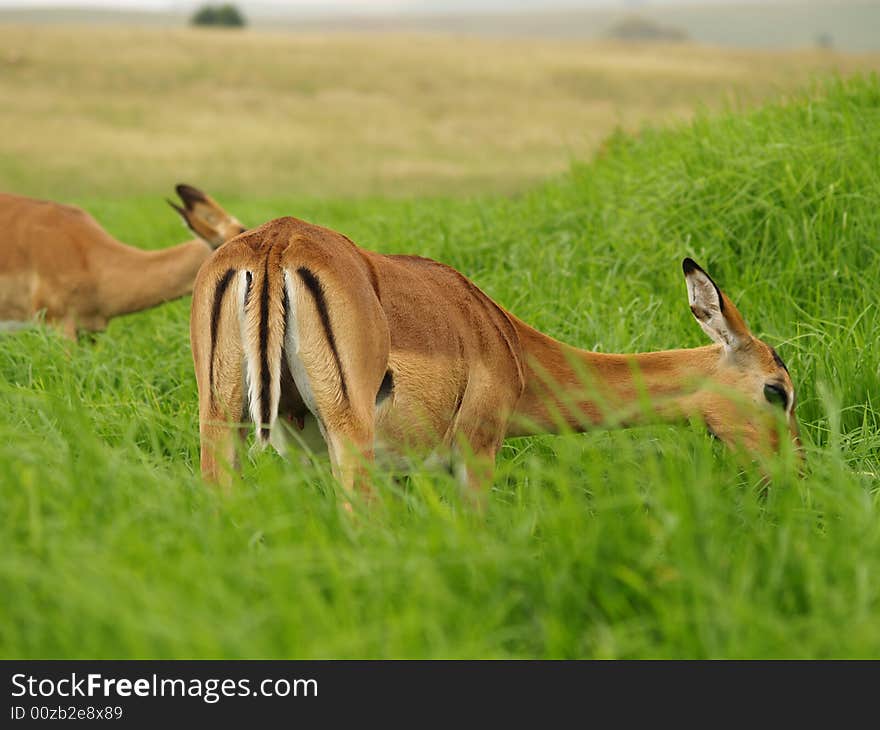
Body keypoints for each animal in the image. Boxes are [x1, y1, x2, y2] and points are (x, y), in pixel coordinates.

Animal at [196, 216, 800, 498]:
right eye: (778, 391)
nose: (795, 473)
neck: (507, 342)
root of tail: (275, 245)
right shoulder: (475, 454)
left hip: (223, 419)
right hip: (350, 437)